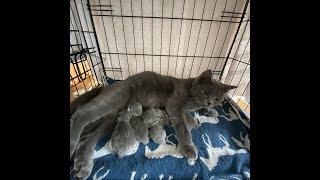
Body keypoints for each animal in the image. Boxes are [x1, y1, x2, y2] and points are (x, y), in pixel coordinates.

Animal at [70, 69, 235, 178]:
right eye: (205, 92)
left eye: (218, 98)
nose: (210, 102)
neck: (191, 94)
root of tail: (105, 86)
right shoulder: (174, 105)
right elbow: (183, 125)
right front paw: (189, 146)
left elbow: (196, 111)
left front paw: (210, 111)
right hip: (115, 98)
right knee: (81, 114)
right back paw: (72, 142)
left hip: (111, 119)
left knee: (87, 138)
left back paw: (82, 165)